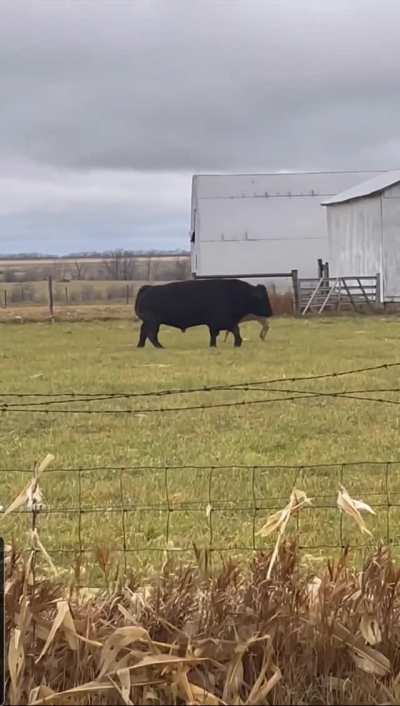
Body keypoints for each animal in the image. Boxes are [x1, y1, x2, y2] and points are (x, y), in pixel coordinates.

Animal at [134, 279, 272, 348]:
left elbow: (232, 331)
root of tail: (148, 288)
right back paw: (160, 346)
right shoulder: (219, 322)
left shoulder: (225, 322)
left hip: (149, 322)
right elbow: (225, 332)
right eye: (262, 298)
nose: (270, 312)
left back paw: (141, 346)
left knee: (144, 332)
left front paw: (236, 343)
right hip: (153, 322)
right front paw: (234, 343)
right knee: (151, 334)